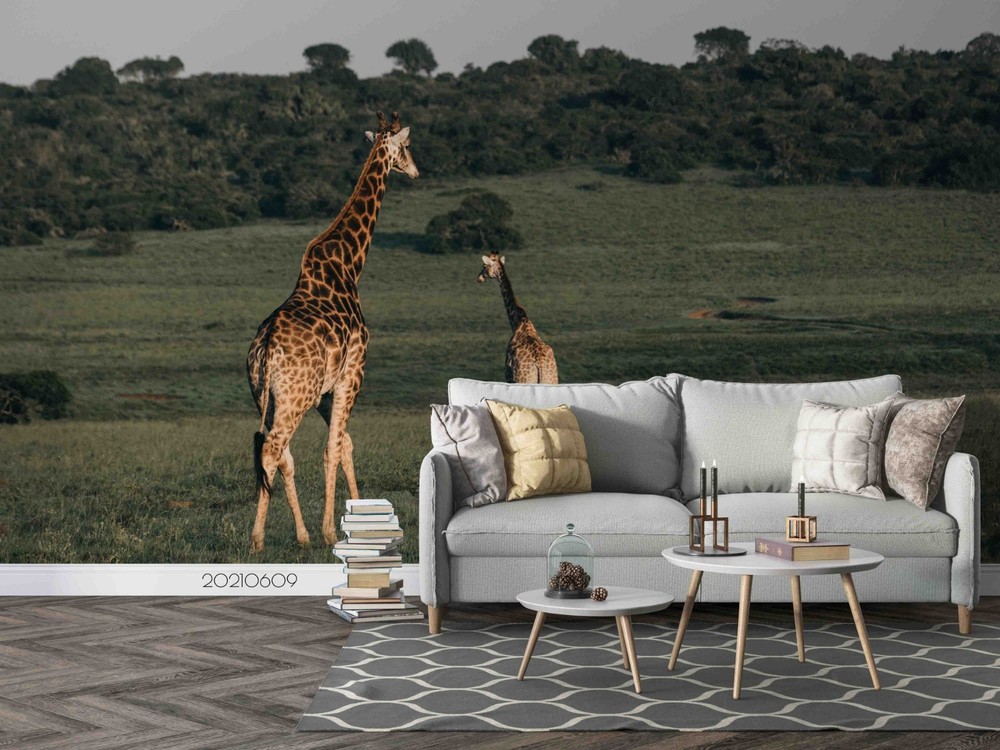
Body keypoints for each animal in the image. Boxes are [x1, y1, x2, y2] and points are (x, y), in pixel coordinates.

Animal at [246, 111, 418, 553]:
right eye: (408, 147)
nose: (415, 170)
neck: (349, 265)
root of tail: (265, 348)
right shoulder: (353, 373)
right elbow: (333, 448)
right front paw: (332, 530)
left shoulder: (326, 389)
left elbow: (345, 444)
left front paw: (360, 521)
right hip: (295, 397)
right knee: (273, 448)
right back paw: (258, 539)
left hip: (269, 396)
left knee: (279, 452)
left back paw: (300, 535)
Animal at [477, 253, 559, 384]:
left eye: (484, 266)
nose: (479, 278)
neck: (518, 321)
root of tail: (539, 364)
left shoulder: (508, 376)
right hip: (552, 379)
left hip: (523, 379)